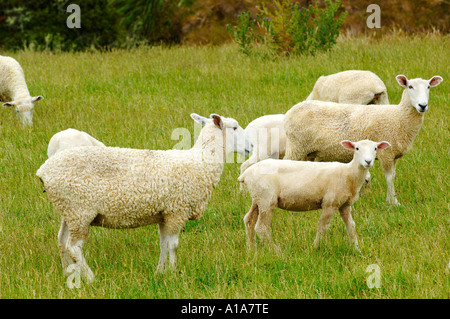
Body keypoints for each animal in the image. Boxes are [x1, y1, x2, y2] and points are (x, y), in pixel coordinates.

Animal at [36, 114, 253, 284]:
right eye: (234, 127)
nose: (251, 146)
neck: (200, 162)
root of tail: (43, 171)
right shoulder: (176, 211)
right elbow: (173, 245)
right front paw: (173, 274)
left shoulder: (164, 214)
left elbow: (164, 245)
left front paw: (160, 273)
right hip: (80, 210)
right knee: (74, 247)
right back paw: (90, 277)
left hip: (68, 210)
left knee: (61, 241)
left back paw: (68, 273)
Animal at [239, 139, 390, 250]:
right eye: (357, 148)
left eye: (375, 148)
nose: (368, 162)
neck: (348, 174)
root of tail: (245, 174)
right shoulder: (330, 204)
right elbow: (323, 227)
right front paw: (315, 248)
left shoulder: (344, 205)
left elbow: (351, 226)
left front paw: (356, 249)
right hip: (266, 199)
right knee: (262, 228)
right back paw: (276, 251)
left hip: (258, 198)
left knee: (249, 220)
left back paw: (251, 249)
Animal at [284, 74, 442, 208]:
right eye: (410, 86)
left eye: (428, 87)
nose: (422, 105)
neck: (399, 117)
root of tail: (291, 111)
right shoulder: (386, 154)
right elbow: (389, 178)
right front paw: (393, 202)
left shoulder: (394, 155)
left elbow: (393, 176)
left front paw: (393, 200)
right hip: (296, 146)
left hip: (307, 151)